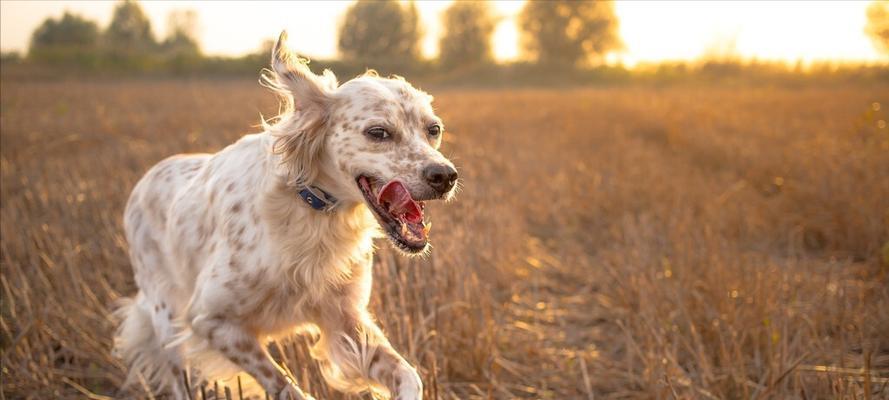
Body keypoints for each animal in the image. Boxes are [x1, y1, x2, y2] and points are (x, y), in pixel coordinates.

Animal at [112, 32, 458, 400]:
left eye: (433, 129)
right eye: (378, 132)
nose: (445, 176)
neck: (312, 216)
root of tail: (148, 176)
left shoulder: (345, 321)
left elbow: (409, 376)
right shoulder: (210, 319)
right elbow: (287, 387)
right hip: (167, 320)